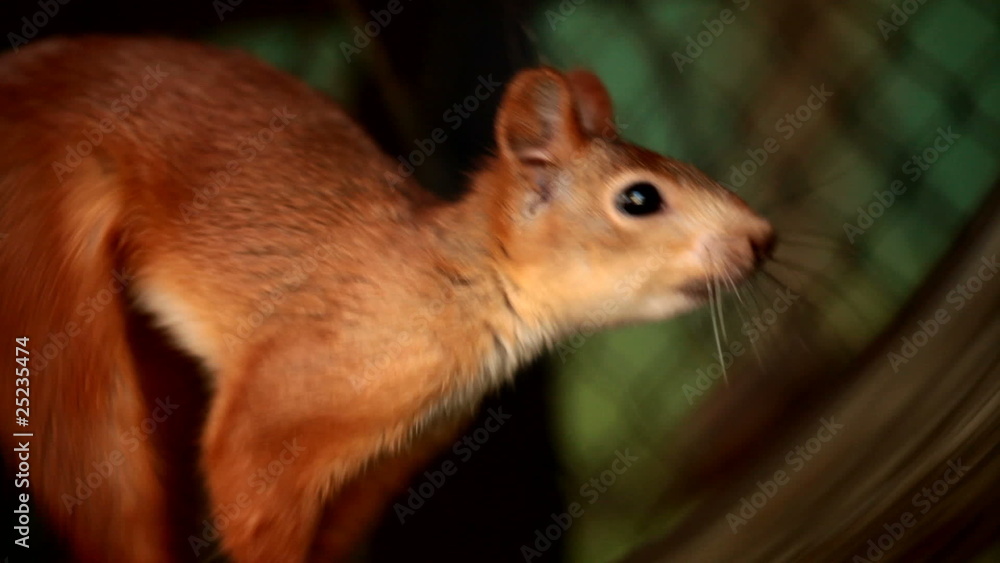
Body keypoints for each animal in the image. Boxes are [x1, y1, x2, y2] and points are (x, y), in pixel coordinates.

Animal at [0, 36, 772, 563]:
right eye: (639, 198)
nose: (764, 238)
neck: (460, 286)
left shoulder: (388, 457)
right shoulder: (278, 405)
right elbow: (250, 492)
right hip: (58, 327)